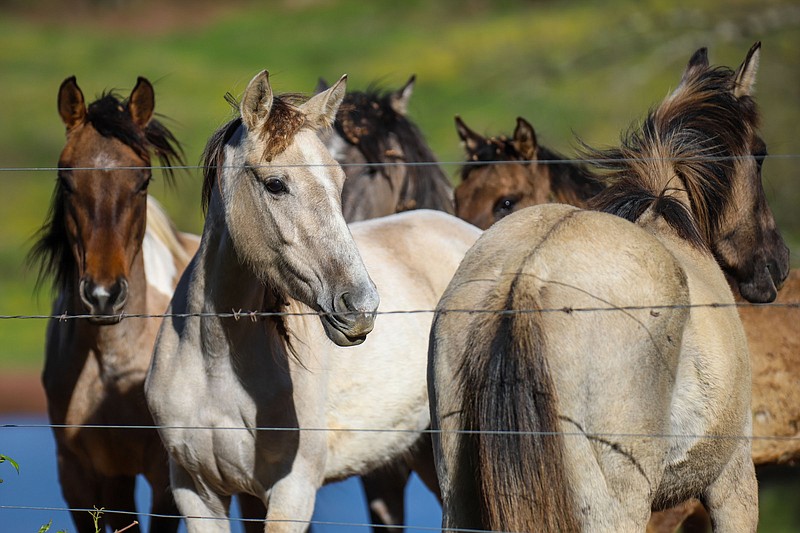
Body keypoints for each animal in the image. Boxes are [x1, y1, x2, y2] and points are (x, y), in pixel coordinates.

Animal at [30, 76, 200, 532]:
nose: (104, 296)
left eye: (142, 182)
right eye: (66, 181)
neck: (114, 362)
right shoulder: (81, 475)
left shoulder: (164, 475)